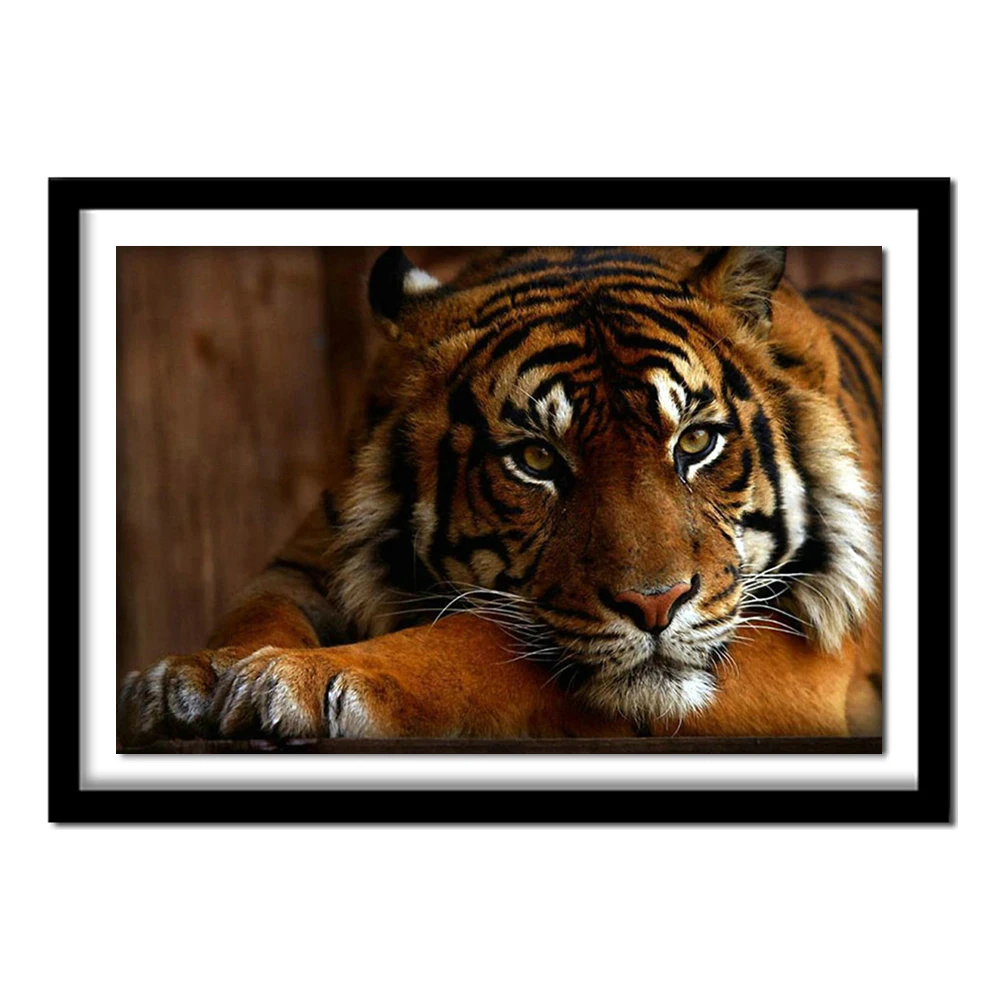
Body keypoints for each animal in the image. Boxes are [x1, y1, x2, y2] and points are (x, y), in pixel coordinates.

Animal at [117, 246, 882, 744]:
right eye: (537, 459)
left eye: (694, 442)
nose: (656, 606)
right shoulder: (307, 562)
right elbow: (254, 614)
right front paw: (188, 681)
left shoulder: (804, 651)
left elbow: (480, 643)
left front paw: (302, 681)